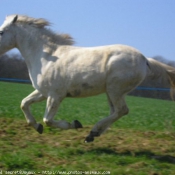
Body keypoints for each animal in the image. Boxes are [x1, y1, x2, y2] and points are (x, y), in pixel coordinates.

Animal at [0, 14, 175, 142]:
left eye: (1, 32)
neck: (47, 56)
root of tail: (145, 59)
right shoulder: (43, 92)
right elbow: (24, 104)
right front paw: (37, 127)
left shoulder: (56, 95)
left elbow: (48, 119)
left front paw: (75, 124)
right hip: (111, 92)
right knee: (115, 111)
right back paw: (93, 134)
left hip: (115, 90)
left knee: (121, 110)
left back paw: (93, 132)